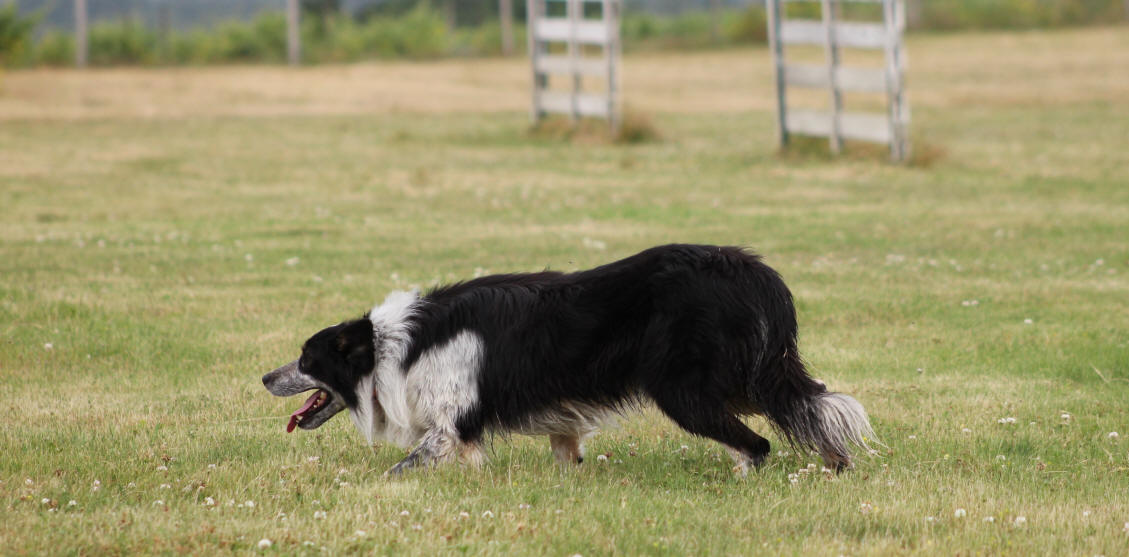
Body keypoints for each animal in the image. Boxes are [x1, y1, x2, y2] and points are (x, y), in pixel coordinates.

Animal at [259, 242, 876, 472]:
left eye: (306, 359)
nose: (265, 377)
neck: (396, 346)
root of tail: (752, 269)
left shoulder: (453, 425)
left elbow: (404, 466)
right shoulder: (554, 426)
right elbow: (565, 457)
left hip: (685, 392)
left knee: (758, 443)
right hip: (750, 379)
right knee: (811, 410)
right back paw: (835, 466)